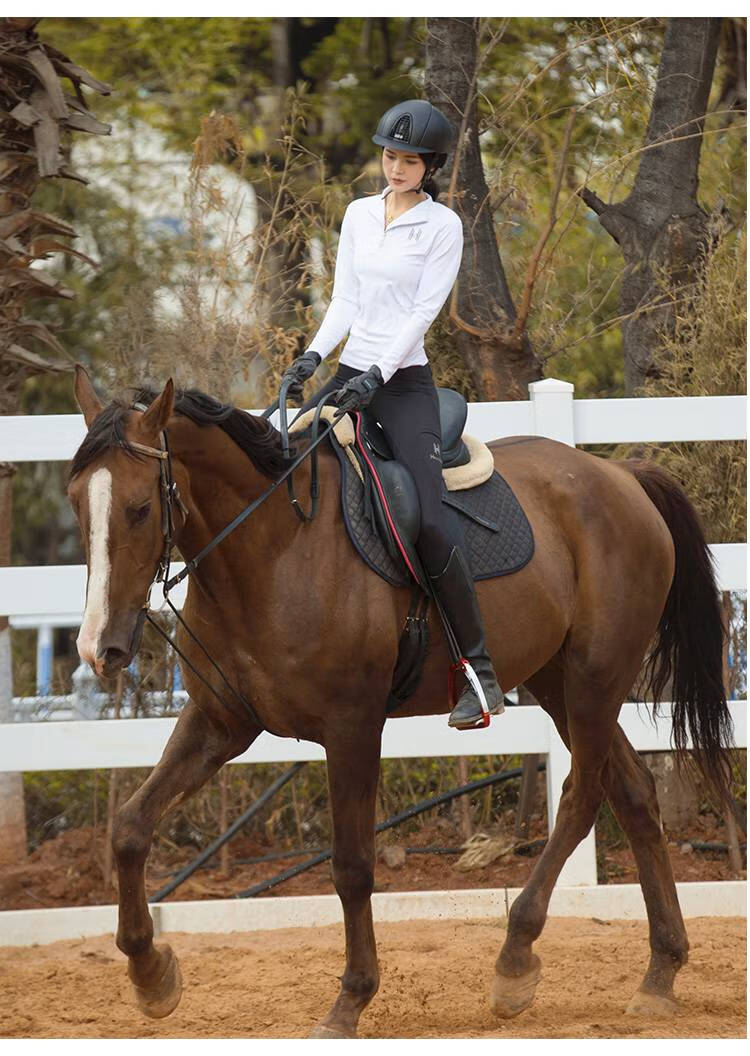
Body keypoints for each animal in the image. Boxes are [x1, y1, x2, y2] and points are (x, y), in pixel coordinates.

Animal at [67, 367, 739, 1034]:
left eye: (139, 509)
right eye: (76, 503)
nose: (100, 648)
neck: (273, 548)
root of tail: (621, 477)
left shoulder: (352, 728)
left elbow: (352, 865)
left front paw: (350, 1001)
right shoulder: (219, 721)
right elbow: (130, 826)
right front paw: (151, 974)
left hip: (595, 679)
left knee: (582, 796)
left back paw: (515, 959)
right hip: (559, 683)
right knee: (633, 793)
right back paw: (659, 975)